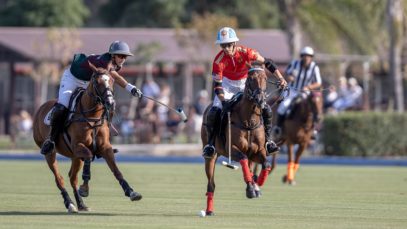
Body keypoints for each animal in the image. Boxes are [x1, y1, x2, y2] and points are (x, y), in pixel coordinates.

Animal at [32, 62, 143, 213]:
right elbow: (89, 156)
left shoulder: (105, 148)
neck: (92, 117)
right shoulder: (78, 146)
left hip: (75, 157)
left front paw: (131, 192)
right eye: (97, 82)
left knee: (72, 178)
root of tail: (40, 108)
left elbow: (116, 170)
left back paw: (81, 204)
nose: (110, 102)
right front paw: (85, 188)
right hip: (51, 153)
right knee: (59, 178)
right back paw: (70, 204)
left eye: (112, 81)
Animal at [202, 63, 274, 216]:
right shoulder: (232, 148)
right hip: (211, 156)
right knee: (211, 184)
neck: (249, 121)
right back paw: (209, 210)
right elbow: (243, 159)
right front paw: (251, 189)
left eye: (265, 78)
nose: (260, 100)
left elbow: (266, 164)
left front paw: (257, 184)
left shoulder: (257, 151)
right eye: (251, 79)